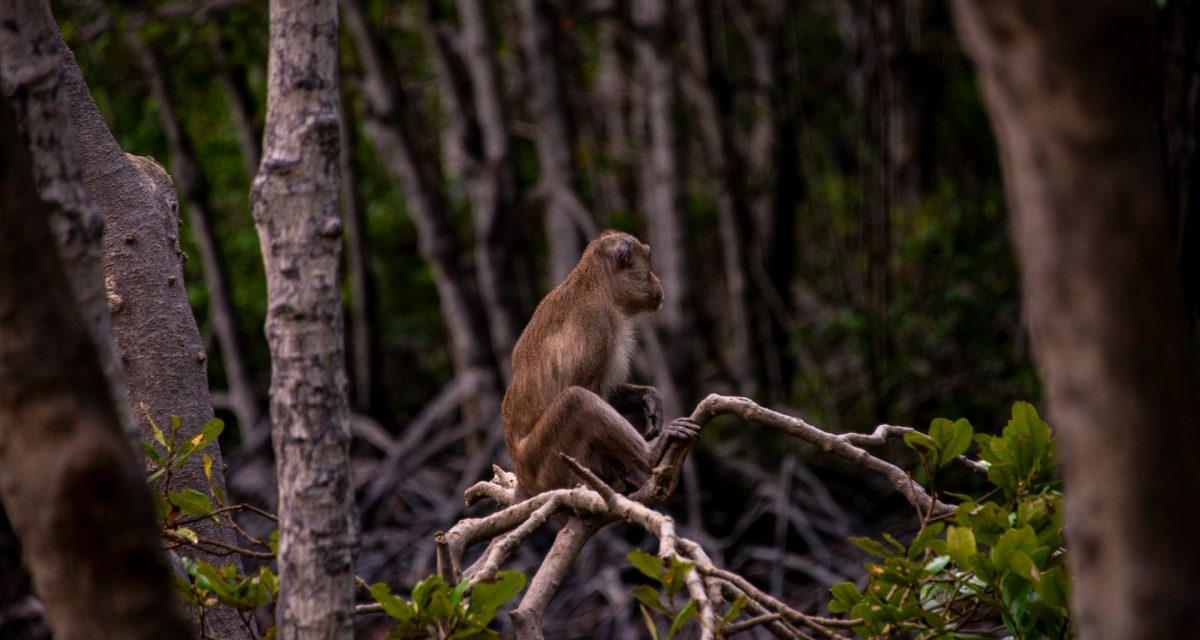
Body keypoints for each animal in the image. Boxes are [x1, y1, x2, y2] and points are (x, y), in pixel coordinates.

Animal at [501, 230, 701, 497]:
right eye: (647, 264)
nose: (657, 281)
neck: (595, 285)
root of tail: (523, 479)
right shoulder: (596, 326)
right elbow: (587, 390)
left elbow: (609, 391)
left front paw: (649, 396)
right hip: (545, 463)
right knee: (576, 400)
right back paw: (650, 456)